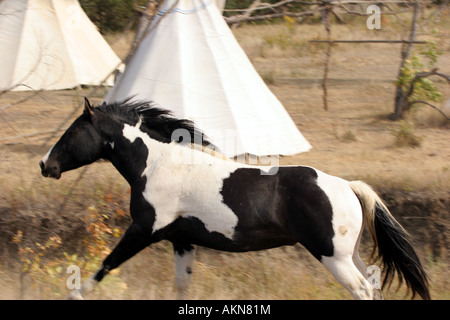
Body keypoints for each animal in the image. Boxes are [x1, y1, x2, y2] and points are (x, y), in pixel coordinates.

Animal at [40, 98, 430, 300]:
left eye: (73, 132)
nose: (46, 165)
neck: (158, 165)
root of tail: (348, 186)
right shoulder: (182, 240)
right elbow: (181, 287)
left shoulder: (144, 230)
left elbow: (105, 265)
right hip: (351, 256)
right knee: (373, 286)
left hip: (332, 256)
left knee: (363, 291)